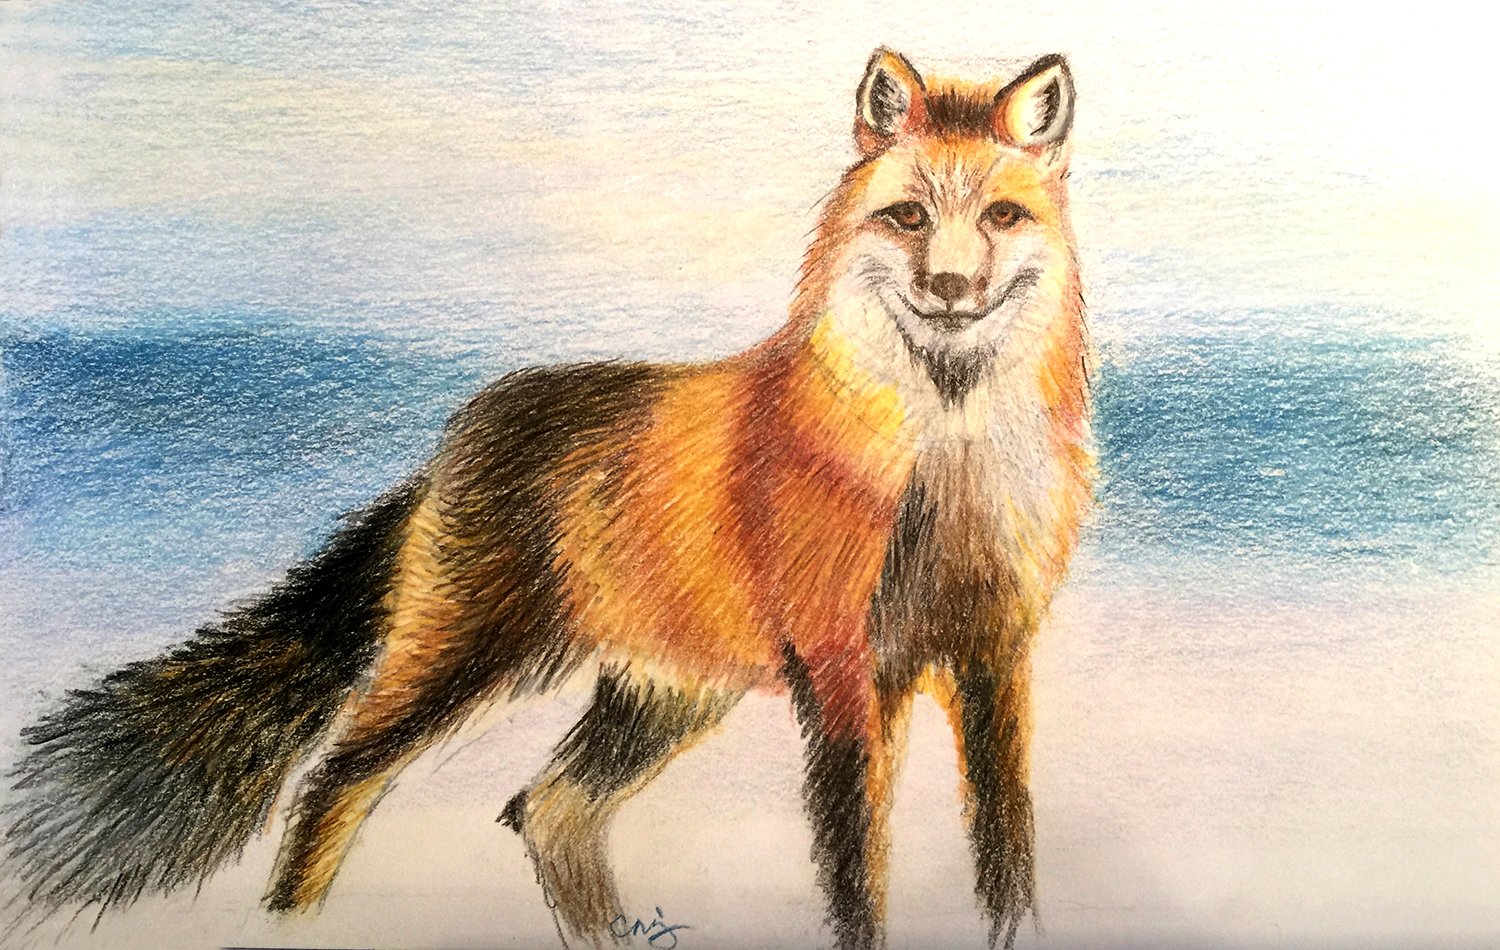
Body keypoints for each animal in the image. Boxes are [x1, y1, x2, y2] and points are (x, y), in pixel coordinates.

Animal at [5, 50, 1091, 950]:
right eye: (908, 217)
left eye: (1001, 217)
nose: (950, 286)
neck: (945, 472)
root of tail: (459, 429)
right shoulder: (844, 672)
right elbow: (857, 884)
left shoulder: (994, 657)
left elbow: (1009, 859)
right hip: (460, 662)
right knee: (336, 780)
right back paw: (292, 923)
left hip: (661, 697)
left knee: (546, 806)